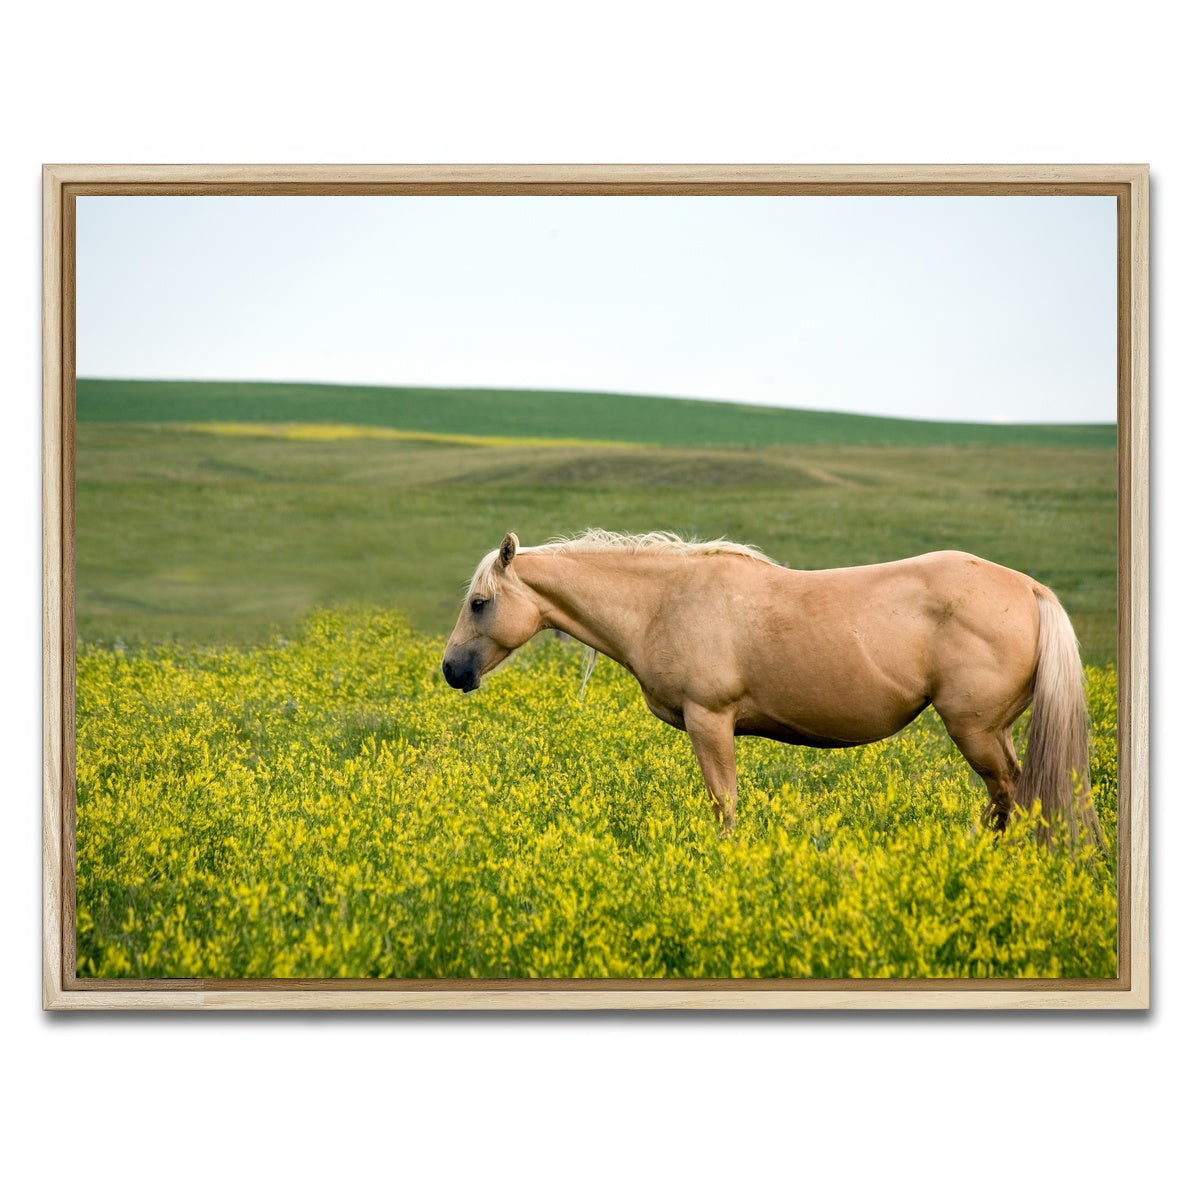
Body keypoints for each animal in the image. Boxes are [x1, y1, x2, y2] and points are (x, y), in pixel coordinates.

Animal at [441, 529, 1099, 845]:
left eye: (479, 603)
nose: (452, 671)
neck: (663, 602)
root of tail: (1030, 589)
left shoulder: (710, 721)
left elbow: (724, 804)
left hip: (975, 731)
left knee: (1012, 792)